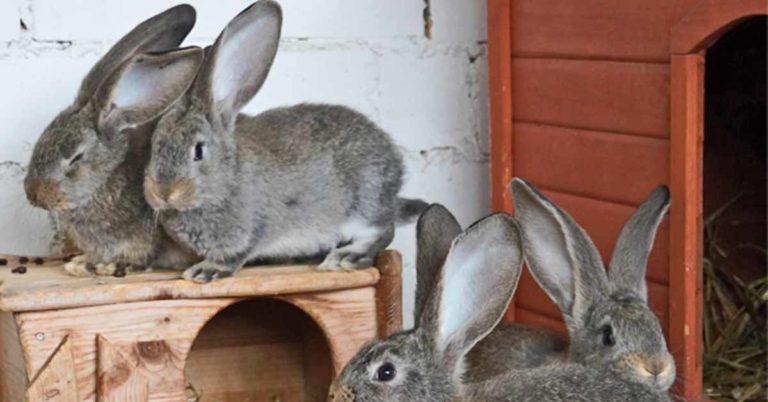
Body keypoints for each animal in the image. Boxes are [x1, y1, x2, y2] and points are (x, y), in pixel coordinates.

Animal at [142, 0, 427, 283]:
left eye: (199, 151)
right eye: (155, 144)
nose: (163, 193)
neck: (227, 178)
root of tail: (396, 171)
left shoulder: (253, 228)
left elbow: (235, 255)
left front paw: (205, 270)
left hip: (364, 203)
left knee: (383, 230)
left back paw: (346, 256)